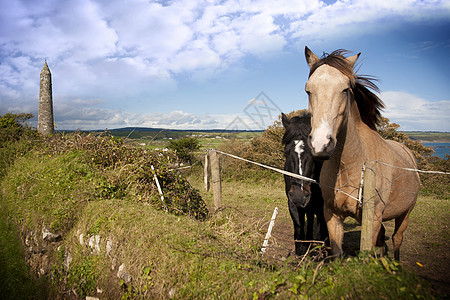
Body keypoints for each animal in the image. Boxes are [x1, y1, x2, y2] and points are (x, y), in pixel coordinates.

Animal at [282, 112, 326, 255]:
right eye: (286, 152)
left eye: (314, 152)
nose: (299, 195)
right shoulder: (292, 204)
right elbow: (299, 230)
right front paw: (300, 253)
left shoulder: (321, 208)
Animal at [304, 47, 420, 260]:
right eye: (308, 90)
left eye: (345, 89)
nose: (321, 144)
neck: (348, 166)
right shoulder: (332, 216)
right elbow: (338, 254)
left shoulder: (372, 219)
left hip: (405, 214)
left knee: (397, 239)